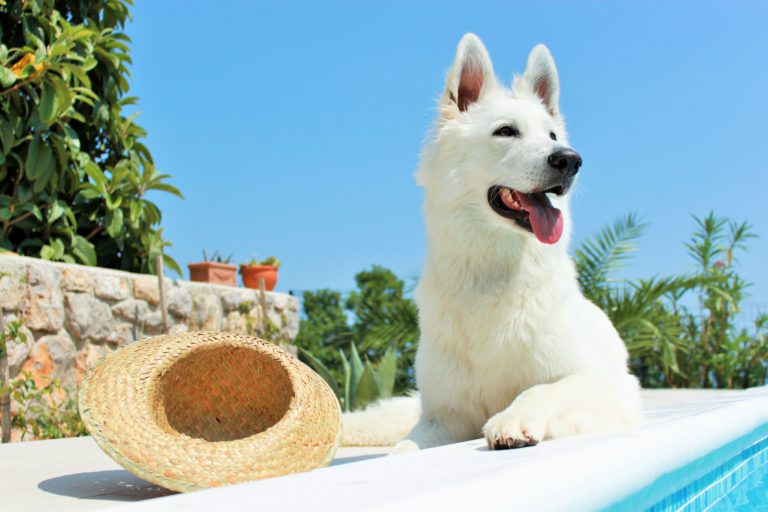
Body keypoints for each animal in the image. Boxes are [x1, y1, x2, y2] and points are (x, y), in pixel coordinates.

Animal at [344, 34, 640, 450]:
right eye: (506, 131)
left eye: (552, 136)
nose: (570, 159)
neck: (492, 273)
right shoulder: (443, 419)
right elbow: (404, 448)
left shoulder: (607, 386)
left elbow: (540, 389)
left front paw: (513, 417)